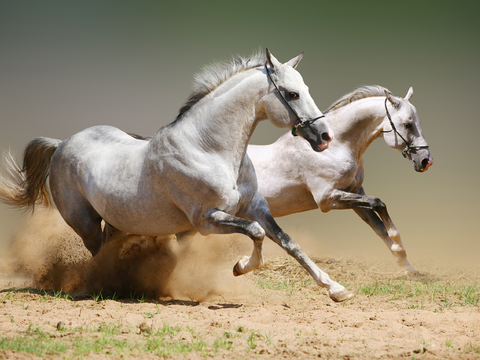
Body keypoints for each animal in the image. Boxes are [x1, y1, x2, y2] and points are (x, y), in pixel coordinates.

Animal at [0, 49, 356, 302]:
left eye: (305, 89)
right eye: (292, 94)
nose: (324, 136)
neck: (208, 148)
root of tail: (61, 144)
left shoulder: (256, 208)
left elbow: (289, 243)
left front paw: (337, 289)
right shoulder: (207, 220)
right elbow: (255, 234)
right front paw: (241, 267)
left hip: (117, 221)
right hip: (84, 222)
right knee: (97, 253)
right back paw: (103, 286)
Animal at [249, 85, 434, 276]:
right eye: (408, 124)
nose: (426, 161)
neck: (335, 148)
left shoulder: (354, 193)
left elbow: (379, 227)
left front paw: (408, 267)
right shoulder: (327, 199)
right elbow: (379, 203)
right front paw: (398, 244)